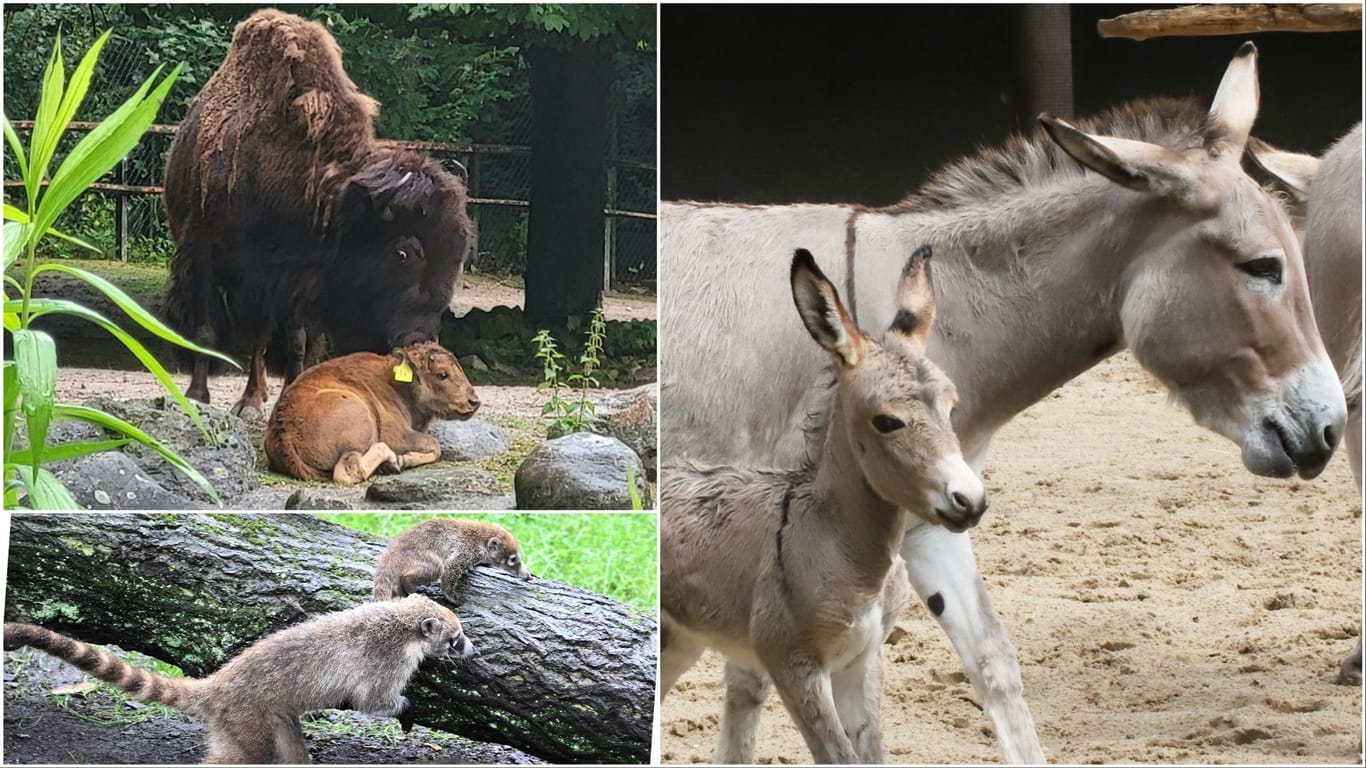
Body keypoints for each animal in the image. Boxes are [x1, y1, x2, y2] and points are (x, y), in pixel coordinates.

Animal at [158, 8, 469, 415]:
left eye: (458, 259)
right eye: (404, 251)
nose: (419, 339)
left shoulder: (295, 279)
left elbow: (295, 342)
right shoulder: (209, 252)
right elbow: (207, 330)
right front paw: (200, 396)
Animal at [265, 337, 480, 481]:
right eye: (442, 374)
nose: (473, 401)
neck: (398, 383)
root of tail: (283, 429)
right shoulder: (398, 435)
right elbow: (434, 445)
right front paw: (402, 460)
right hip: (360, 425)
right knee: (349, 471)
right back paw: (391, 462)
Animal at [661, 245, 983, 759]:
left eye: (950, 405)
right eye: (886, 421)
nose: (969, 500)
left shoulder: (862, 660)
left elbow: (870, 754)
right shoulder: (794, 664)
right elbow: (837, 756)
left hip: (683, 640)